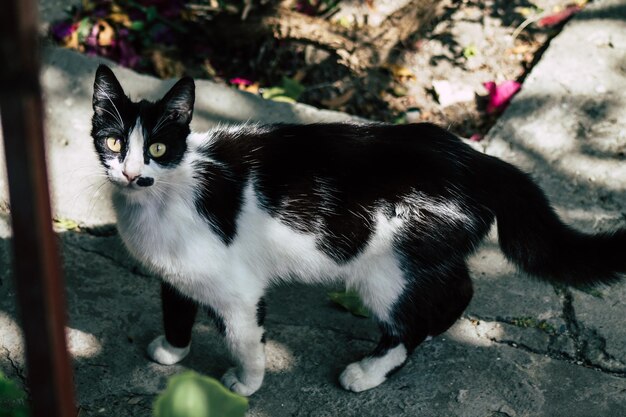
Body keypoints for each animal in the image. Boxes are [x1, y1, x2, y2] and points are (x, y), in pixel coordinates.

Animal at [90, 64, 620, 394]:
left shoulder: (236, 288)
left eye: (157, 149)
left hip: (388, 265)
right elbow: (175, 307)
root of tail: (479, 160)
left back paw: (369, 370)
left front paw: (246, 383)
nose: (131, 174)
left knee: (415, 316)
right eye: (113, 142)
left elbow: (242, 338)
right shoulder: (175, 272)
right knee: (459, 288)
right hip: (422, 254)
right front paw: (172, 350)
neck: (164, 197)